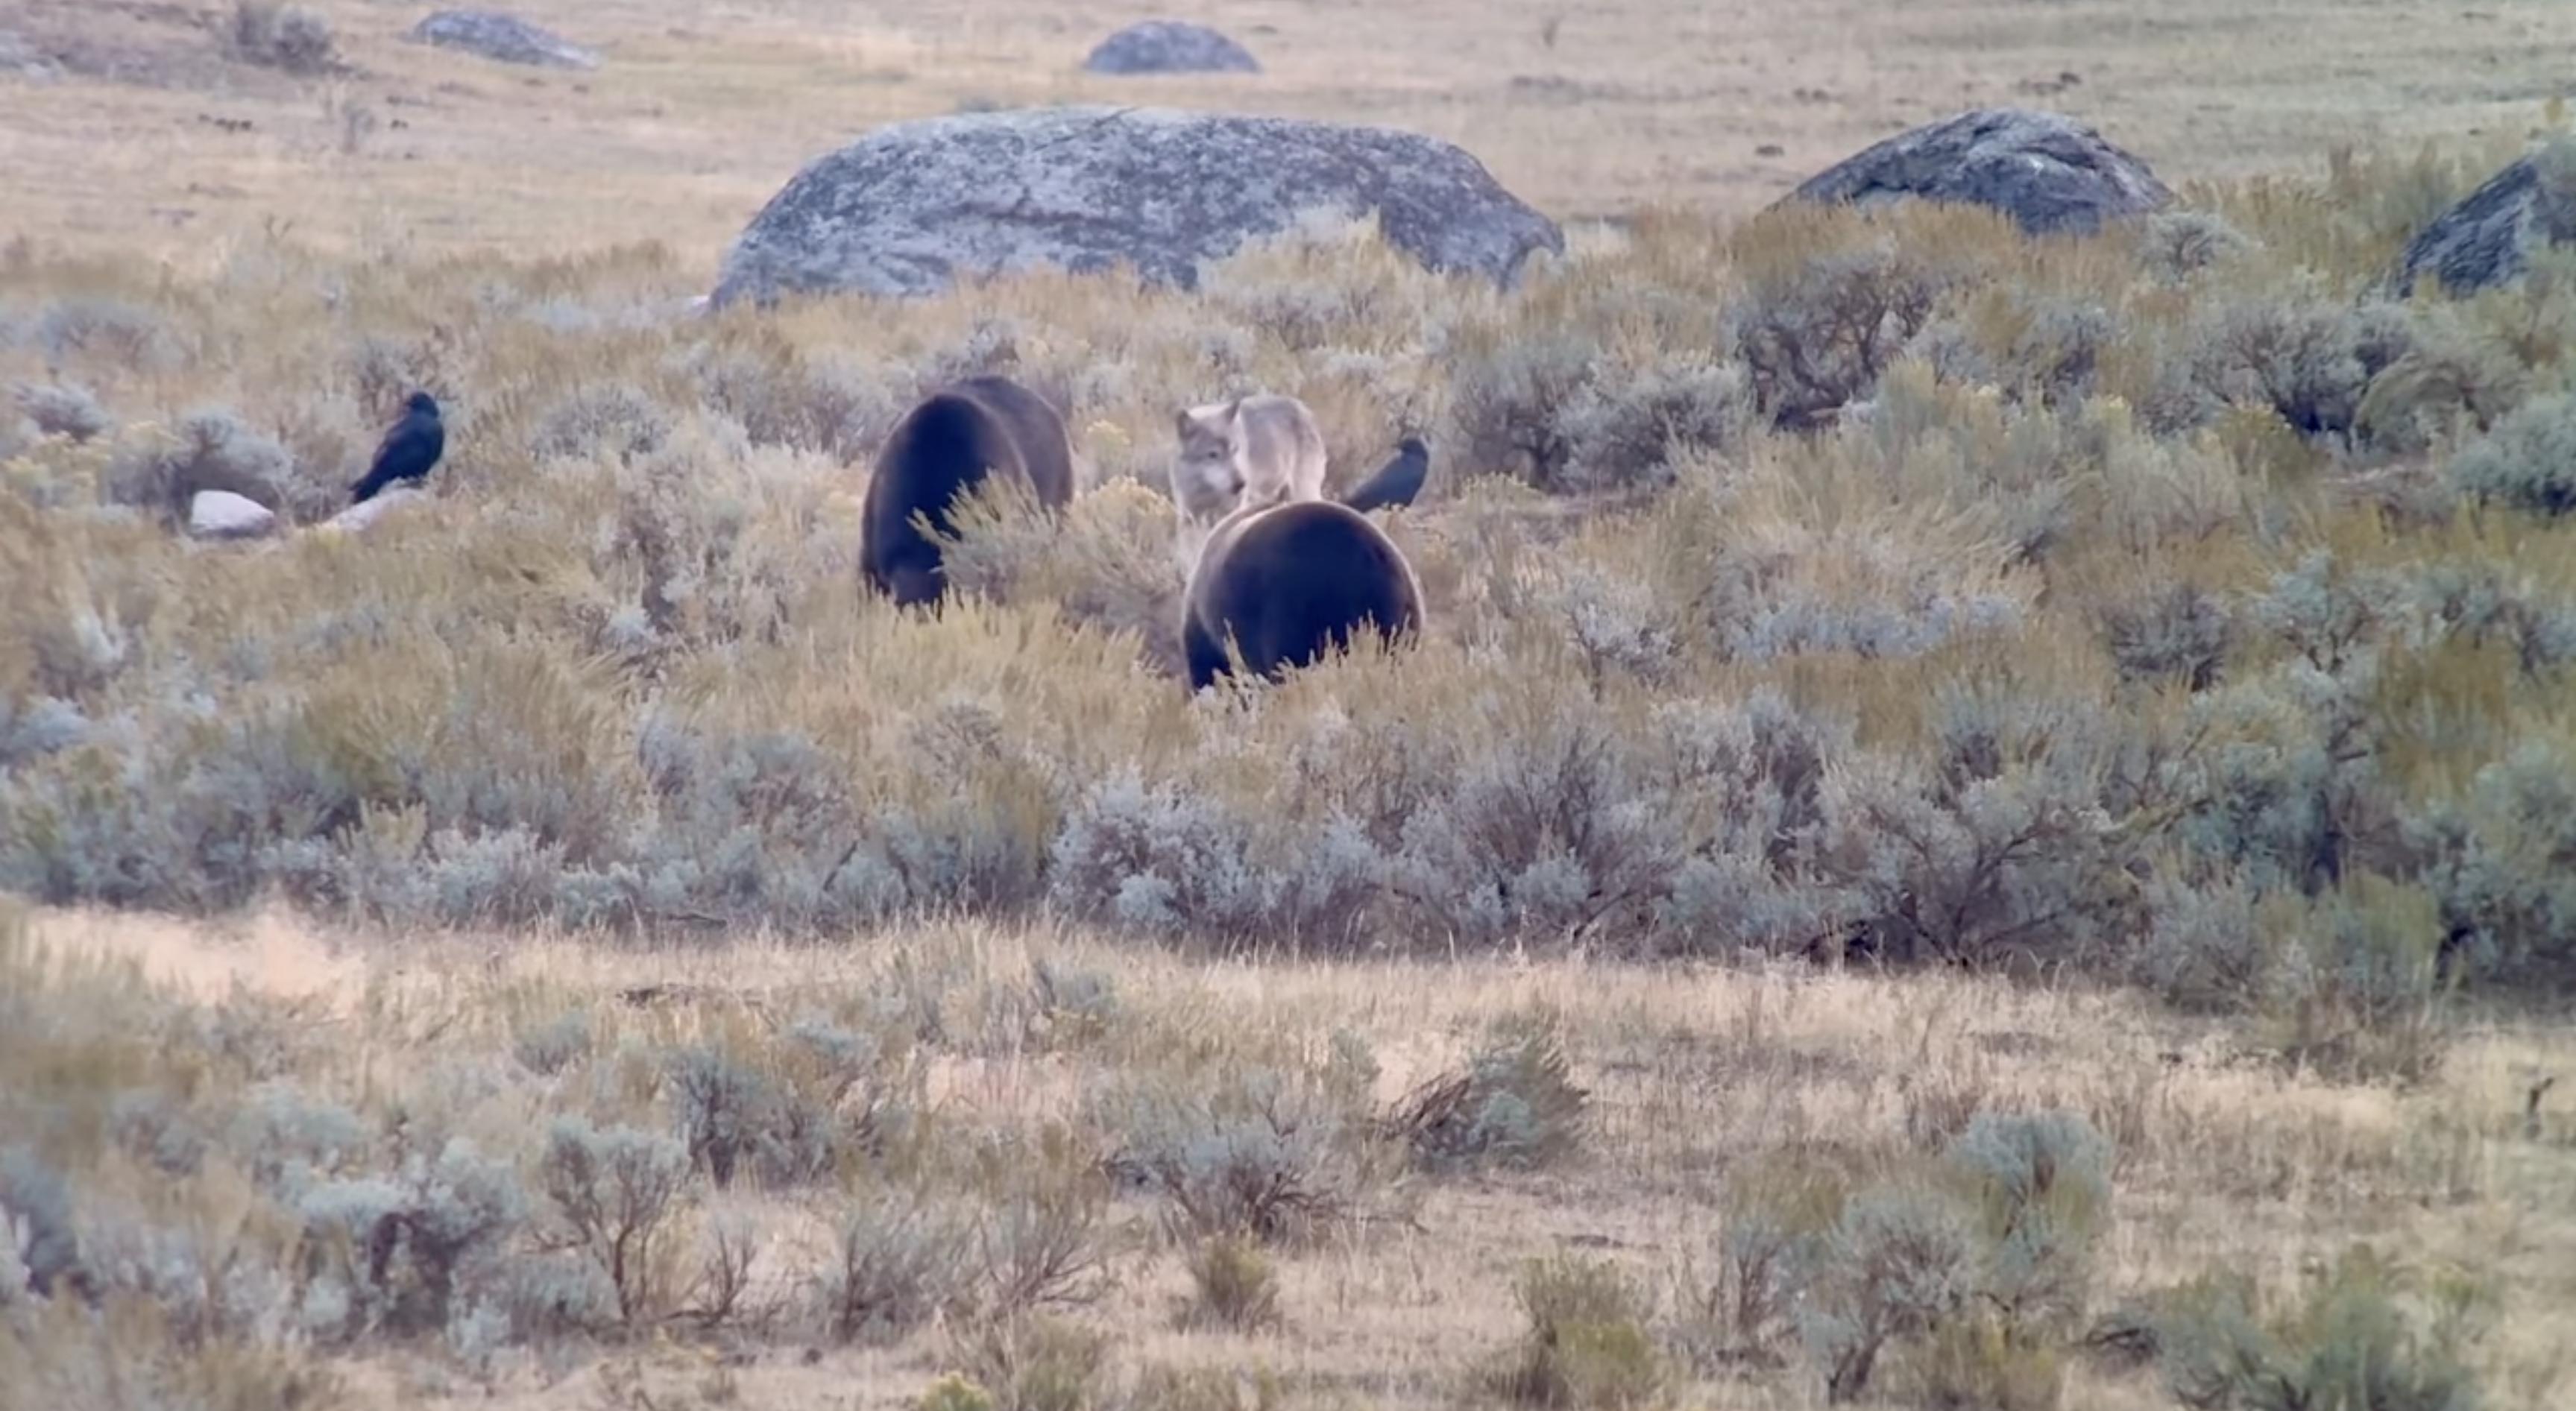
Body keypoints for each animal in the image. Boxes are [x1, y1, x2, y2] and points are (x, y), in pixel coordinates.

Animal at [1168, 393, 1327, 573]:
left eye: (1235, 450)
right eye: (1212, 454)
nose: (1241, 484)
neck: (1207, 489)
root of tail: (1302, 407)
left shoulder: (1231, 512)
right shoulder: (1189, 516)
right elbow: (1191, 556)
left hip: (1303, 494)